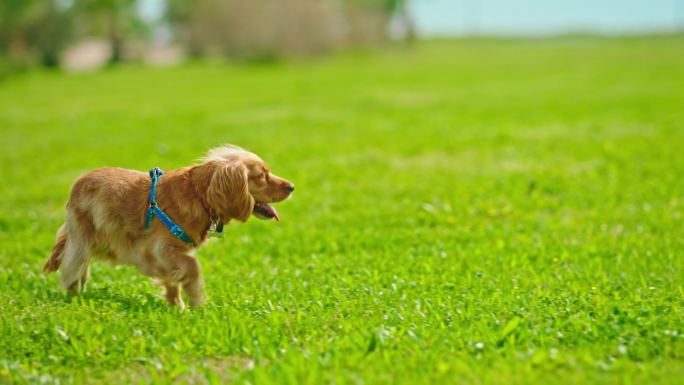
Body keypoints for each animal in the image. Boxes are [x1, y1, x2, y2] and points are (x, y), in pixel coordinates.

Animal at [42, 144, 294, 308]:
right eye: (262, 176)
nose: (292, 186)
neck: (198, 195)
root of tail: (78, 183)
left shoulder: (170, 253)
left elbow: (174, 279)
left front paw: (177, 307)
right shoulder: (156, 249)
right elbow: (193, 267)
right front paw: (196, 301)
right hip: (82, 241)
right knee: (71, 267)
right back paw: (74, 294)